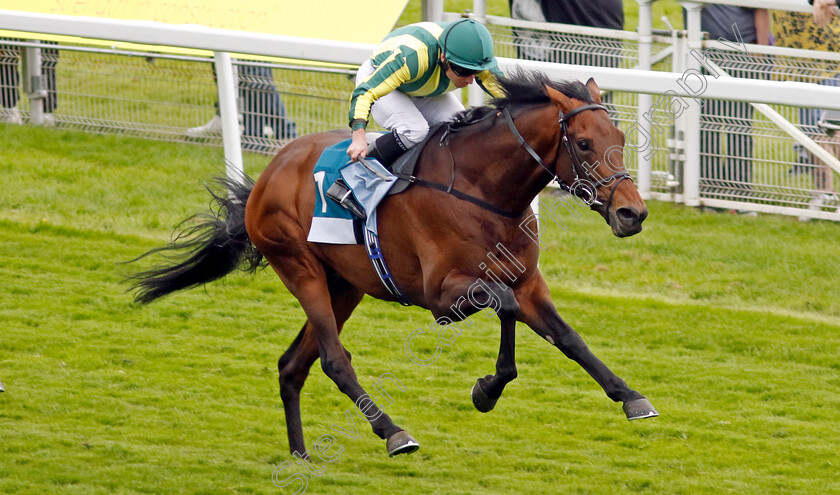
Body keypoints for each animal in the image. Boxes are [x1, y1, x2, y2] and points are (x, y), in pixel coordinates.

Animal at [130, 70, 656, 462]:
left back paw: (300, 453)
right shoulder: (444, 297)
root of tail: (268, 174)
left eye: (620, 136)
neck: (484, 189)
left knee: (292, 365)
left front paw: (631, 397)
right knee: (333, 359)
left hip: (344, 285)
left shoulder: (527, 281)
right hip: (300, 268)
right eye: (583, 143)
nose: (632, 213)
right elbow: (505, 307)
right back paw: (393, 432)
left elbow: (567, 337)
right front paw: (486, 390)